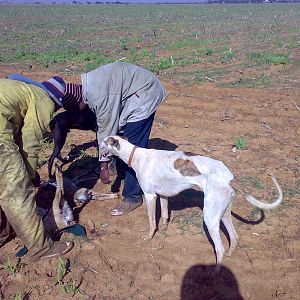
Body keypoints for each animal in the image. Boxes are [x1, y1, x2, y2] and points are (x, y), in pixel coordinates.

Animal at [102, 135, 282, 270]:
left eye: (104, 142)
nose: (99, 150)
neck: (137, 155)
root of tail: (230, 178)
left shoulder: (151, 196)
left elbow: (152, 222)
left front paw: (149, 237)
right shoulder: (163, 196)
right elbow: (165, 216)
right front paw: (164, 231)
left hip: (210, 218)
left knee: (220, 248)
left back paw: (217, 272)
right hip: (223, 214)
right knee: (234, 237)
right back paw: (230, 256)